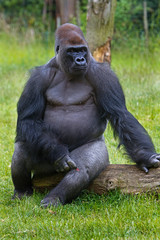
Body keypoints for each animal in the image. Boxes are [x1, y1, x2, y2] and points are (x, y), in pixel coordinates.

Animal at [11, 24, 160, 208]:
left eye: (82, 50)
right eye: (72, 51)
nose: (81, 59)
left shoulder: (103, 75)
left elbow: (120, 115)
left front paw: (145, 157)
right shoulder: (38, 78)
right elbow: (29, 120)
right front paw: (58, 152)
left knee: (82, 168)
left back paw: (55, 197)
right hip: (44, 167)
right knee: (22, 148)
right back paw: (22, 191)